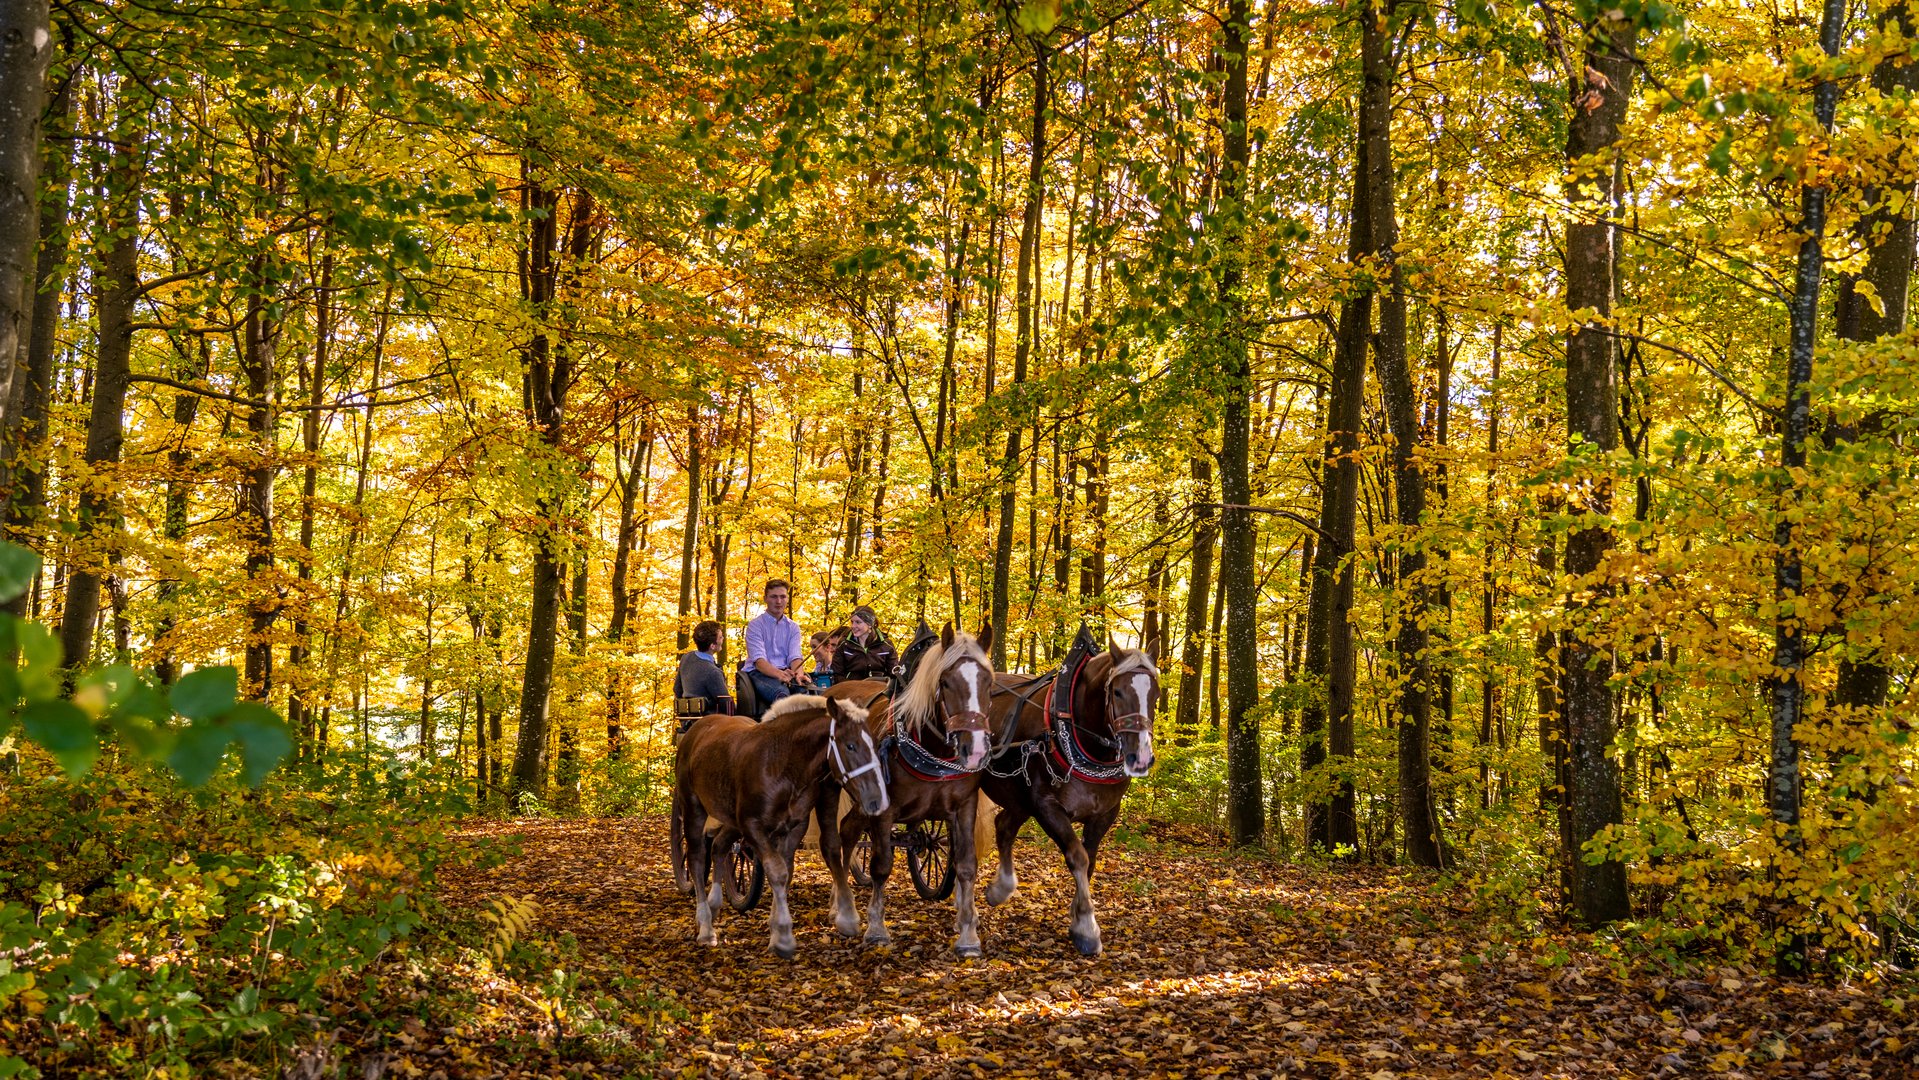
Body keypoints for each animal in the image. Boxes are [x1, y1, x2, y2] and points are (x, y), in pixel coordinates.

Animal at [675, 694, 882, 955]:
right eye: (851, 745)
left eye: (874, 745)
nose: (875, 798)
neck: (782, 765)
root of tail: (698, 726)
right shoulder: (753, 826)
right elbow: (776, 871)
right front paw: (783, 934)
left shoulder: (793, 828)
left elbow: (786, 871)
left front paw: (776, 928)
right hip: (692, 808)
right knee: (696, 858)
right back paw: (705, 926)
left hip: (730, 819)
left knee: (719, 847)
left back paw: (713, 905)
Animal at [821, 621, 997, 959]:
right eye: (945, 682)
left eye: (989, 683)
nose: (976, 750)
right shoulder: (883, 809)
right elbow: (881, 866)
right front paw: (877, 930)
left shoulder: (964, 806)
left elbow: (966, 865)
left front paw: (968, 932)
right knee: (842, 838)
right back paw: (838, 903)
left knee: (848, 830)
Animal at [982, 640, 1159, 955]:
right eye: (1117, 691)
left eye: (1156, 692)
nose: (1140, 757)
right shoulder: (1046, 806)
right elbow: (1077, 856)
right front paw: (1087, 928)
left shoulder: (1105, 812)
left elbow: (1091, 860)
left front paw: (1077, 916)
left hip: (1018, 798)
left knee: (1003, 826)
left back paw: (1001, 888)